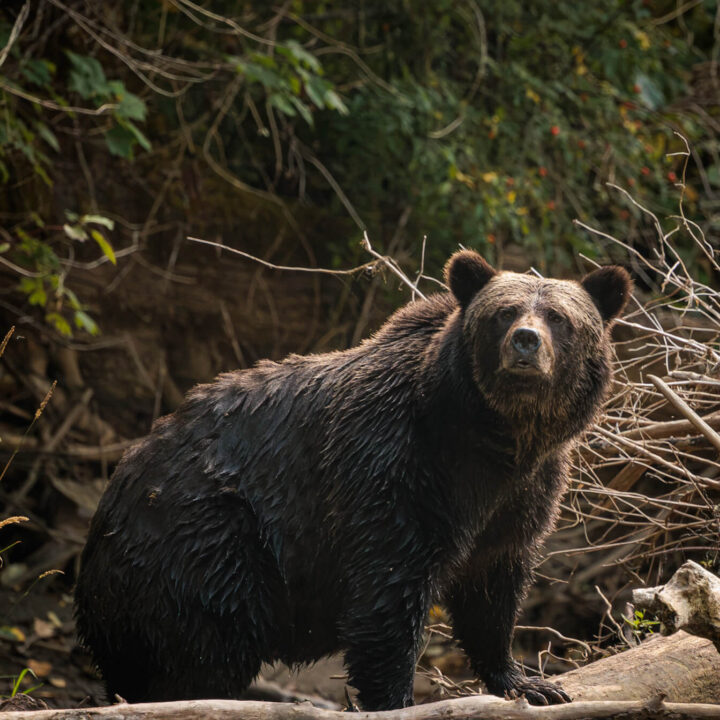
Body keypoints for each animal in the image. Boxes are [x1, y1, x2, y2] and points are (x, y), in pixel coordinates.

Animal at [74, 250, 631, 710]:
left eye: (559, 317)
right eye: (504, 313)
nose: (525, 342)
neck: (494, 438)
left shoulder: (522, 494)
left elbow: (493, 584)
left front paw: (528, 681)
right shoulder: (394, 465)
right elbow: (387, 591)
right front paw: (396, 698)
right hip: (207, 534)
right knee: (208, 640)